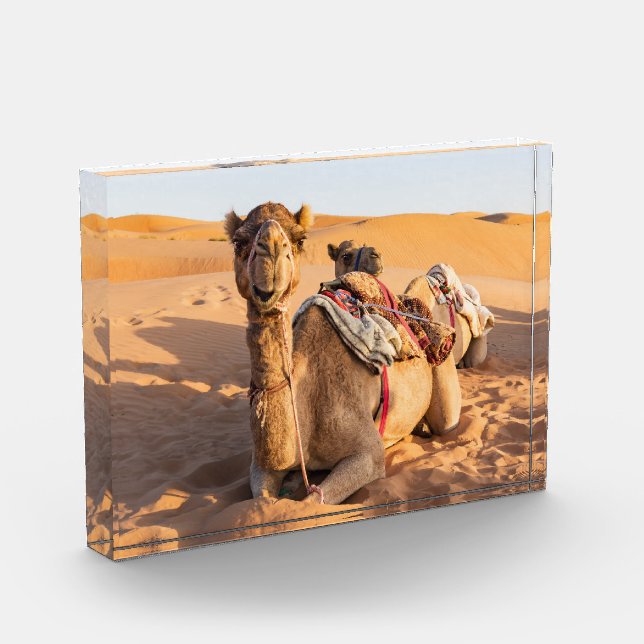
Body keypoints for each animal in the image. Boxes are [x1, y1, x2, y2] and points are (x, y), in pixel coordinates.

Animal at [225, 202, 462, 505]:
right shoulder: (260, 466)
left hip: (444, 379)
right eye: (238, 242)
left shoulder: (368, 454)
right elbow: (265, 501)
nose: (272, 248)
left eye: (300, 239)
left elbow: (312, 503)